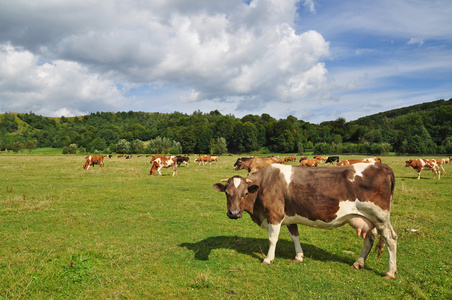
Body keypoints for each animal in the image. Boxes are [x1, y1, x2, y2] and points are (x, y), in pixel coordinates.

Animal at [214, 163, 398, 280]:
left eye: (245, 193)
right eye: (227, 193)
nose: (234, 213)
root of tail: (381, 165)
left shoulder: (275, 215)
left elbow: (272, 239)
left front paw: (268, 259)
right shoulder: (289, 216)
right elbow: (295, 236)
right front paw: (299, 256)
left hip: (380, 217)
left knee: (390, 239)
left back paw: (390, 272)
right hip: (368, 219)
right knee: (370, 238)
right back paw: (358, 263)